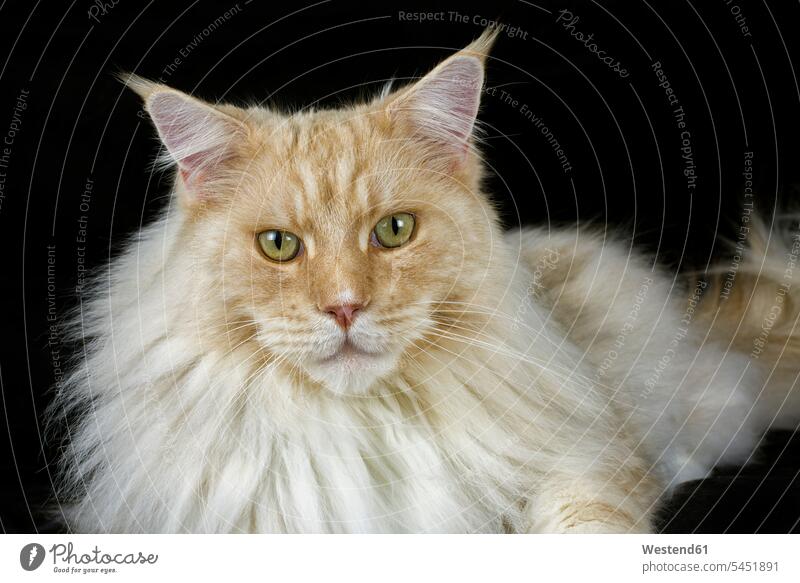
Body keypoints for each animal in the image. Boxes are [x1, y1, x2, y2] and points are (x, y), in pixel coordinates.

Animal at [50, 30, 800, 532]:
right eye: (278, 246)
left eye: (394, 231)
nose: (345, 307)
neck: (363, 423)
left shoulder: (584, 462)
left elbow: (587, 524)